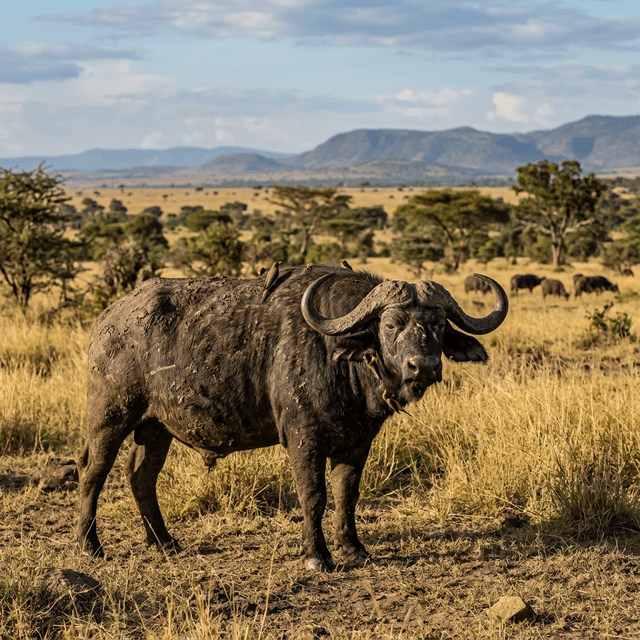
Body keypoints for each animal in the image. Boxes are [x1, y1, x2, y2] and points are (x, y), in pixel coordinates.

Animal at [77, 265, 508, 571]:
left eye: (438, 325)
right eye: (390, 324)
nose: (424, 367)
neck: (341, 361)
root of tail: (108, 319)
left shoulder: (357, 443)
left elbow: (347, 495)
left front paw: (353, 549)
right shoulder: (304, 438)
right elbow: (313, 495)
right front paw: (317, 555)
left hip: (157, 428)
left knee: (141, 476)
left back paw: (164, 541)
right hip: (109, 416)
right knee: (92, 473)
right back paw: (89, 545)